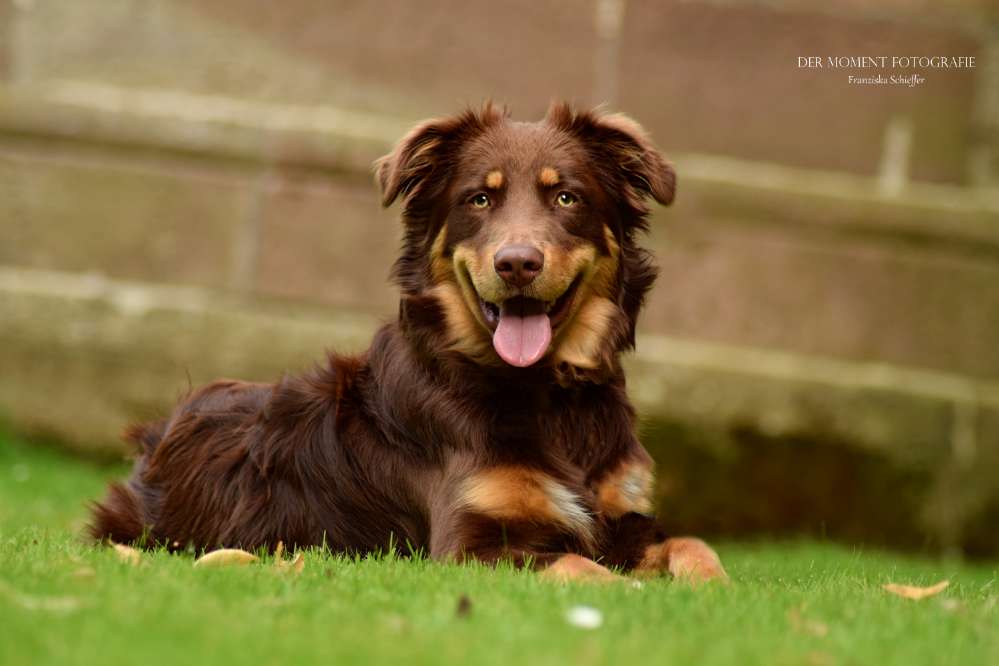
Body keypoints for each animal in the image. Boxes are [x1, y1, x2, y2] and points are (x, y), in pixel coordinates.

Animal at [88, 102, 728, 580]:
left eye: (566, 197)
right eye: (479, 198)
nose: (517, 263)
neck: (548, 396)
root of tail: (155, 438)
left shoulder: (628, 517)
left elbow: (696, 548)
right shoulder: (469, 545)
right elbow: (580, 565)